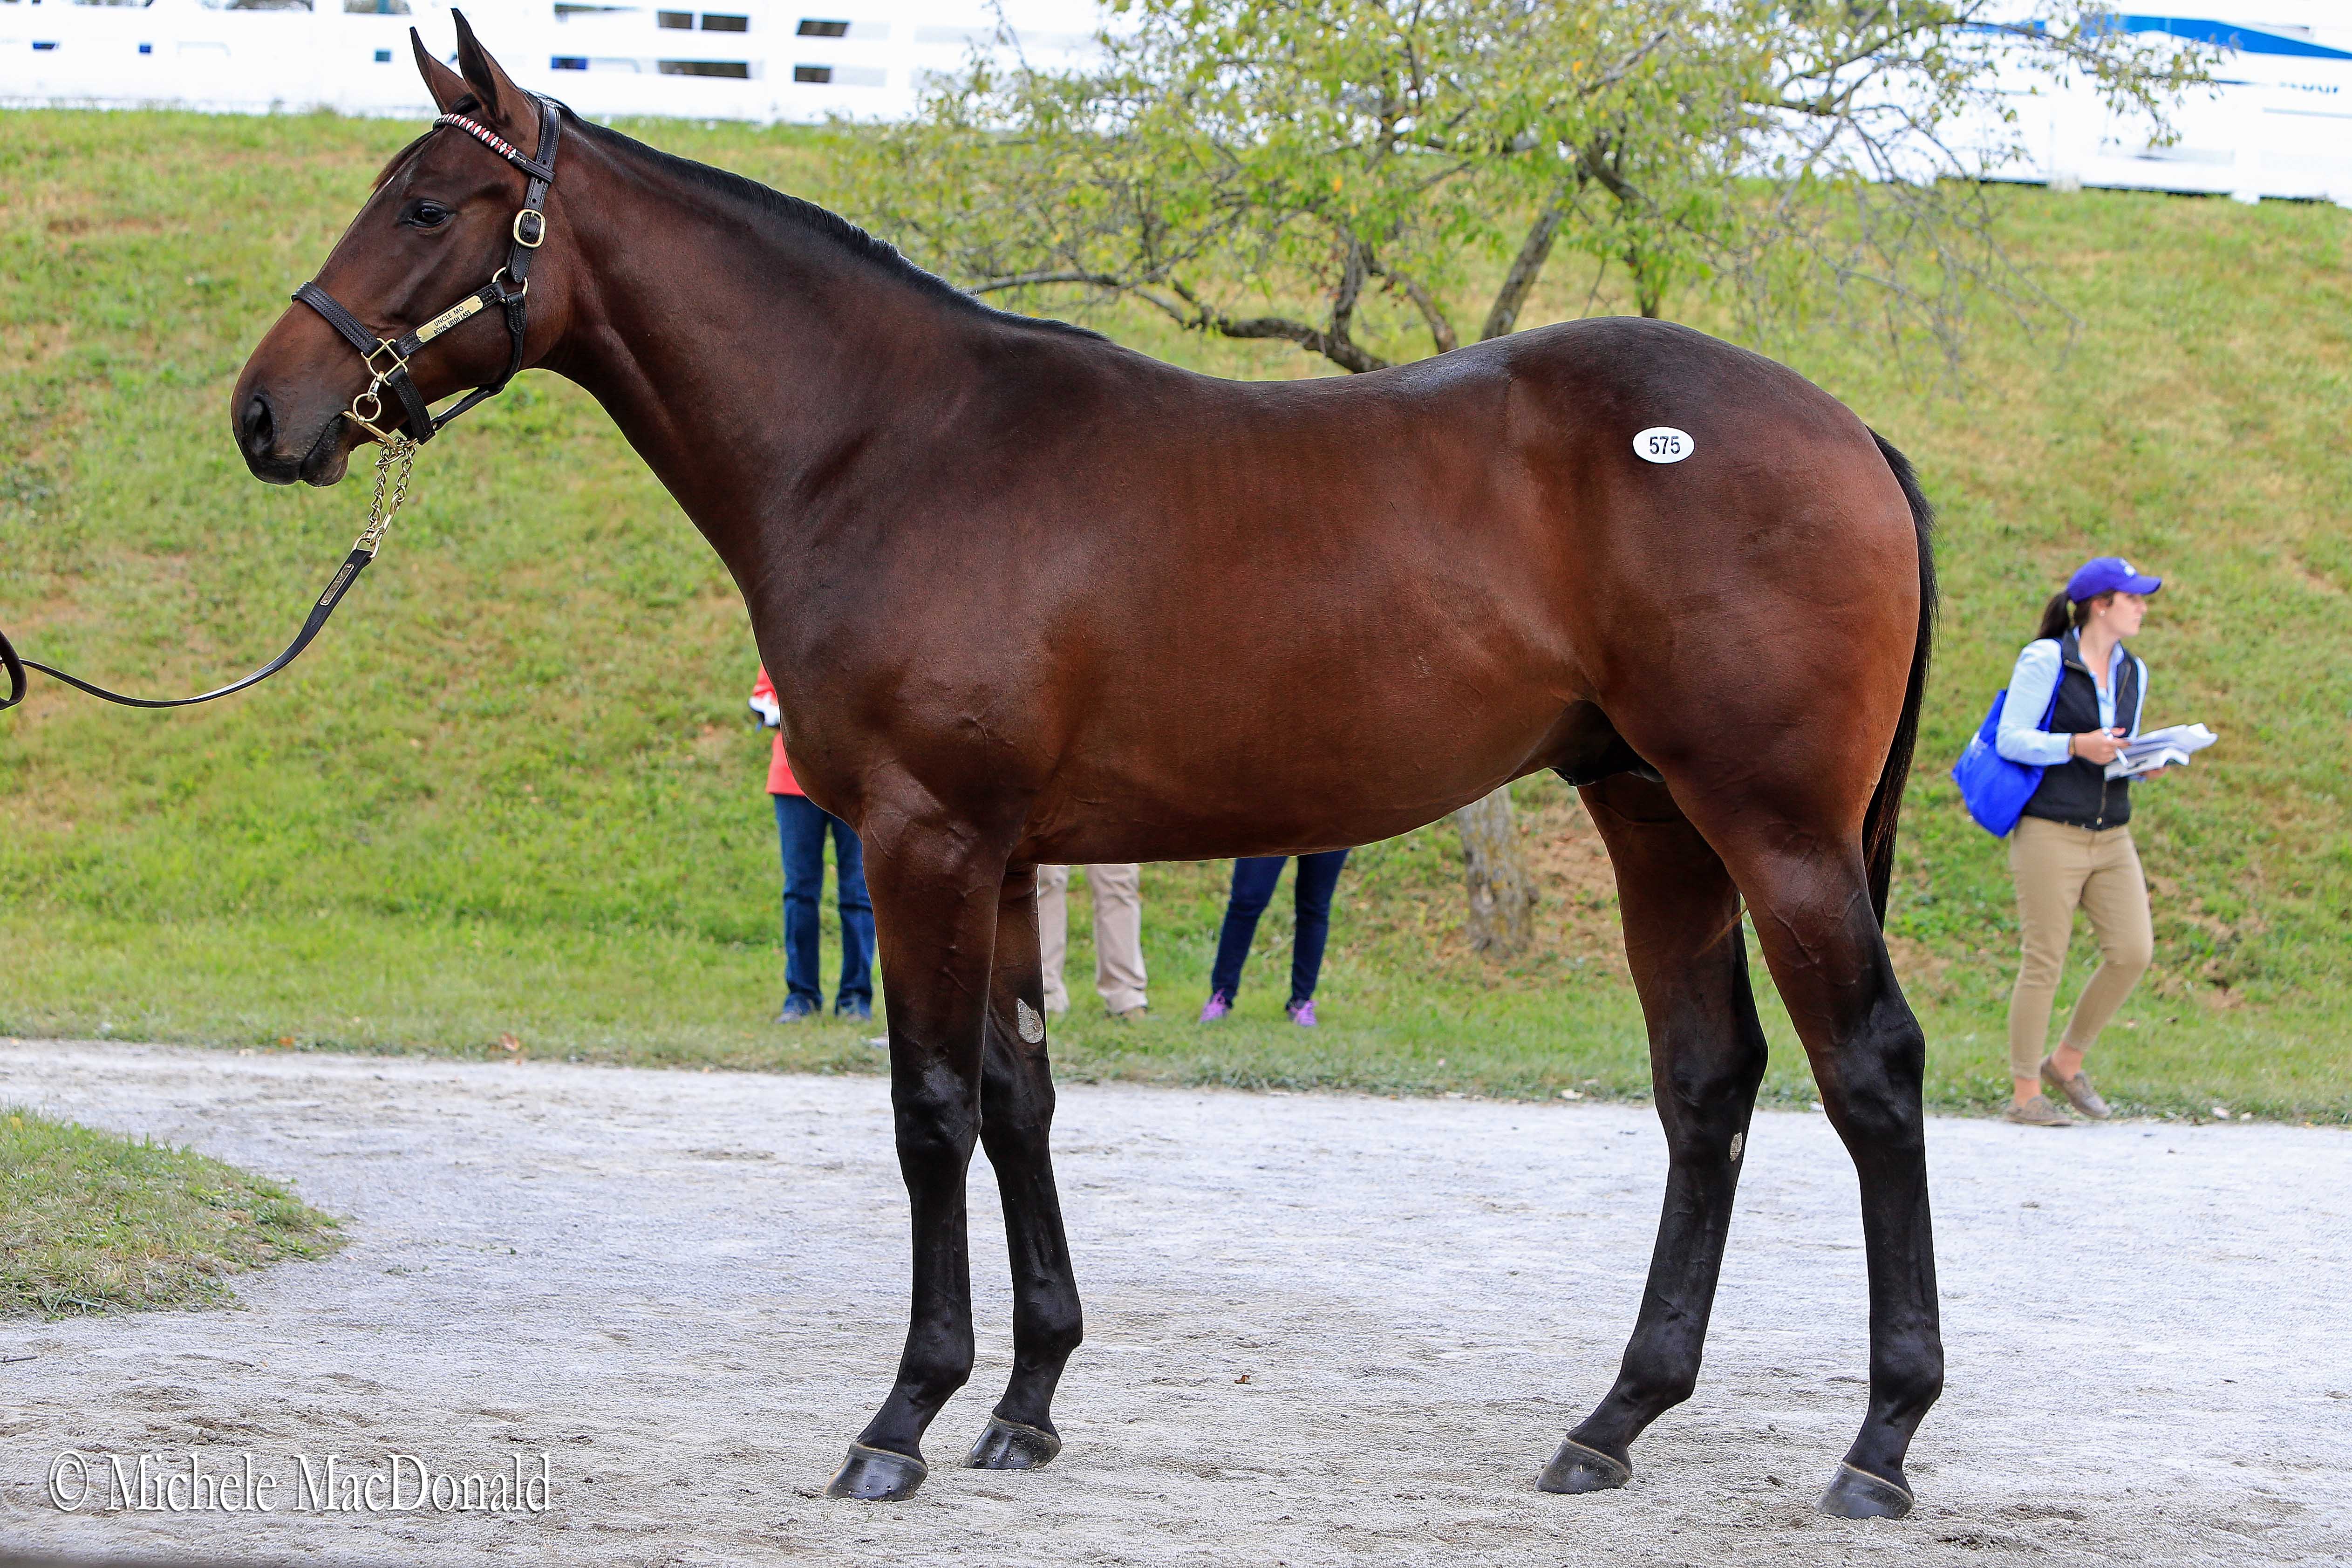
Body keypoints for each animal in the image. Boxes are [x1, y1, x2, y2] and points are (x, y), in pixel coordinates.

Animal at [225, 21, 1947, 1523]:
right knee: (1704, 1082)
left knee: (1868, 1071)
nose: (264, 411)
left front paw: (901, 1415)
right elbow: (1017, 1099)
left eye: (427, 204)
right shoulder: (997, 857)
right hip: (1652, 815)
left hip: (1773, 828)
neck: (887, 445)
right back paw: (1612, 1419)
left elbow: (928, 1110)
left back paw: (1877, 1442)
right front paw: (1026, 1399)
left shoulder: (920, 840)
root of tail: (1848, 431)